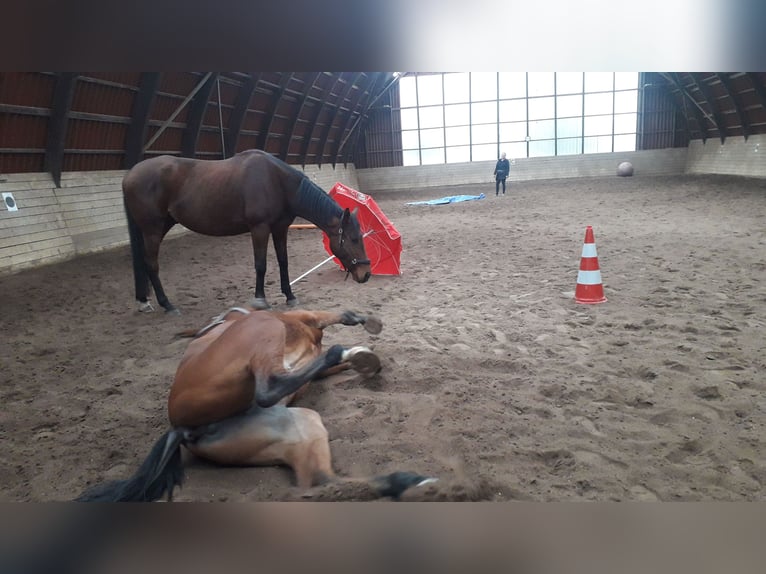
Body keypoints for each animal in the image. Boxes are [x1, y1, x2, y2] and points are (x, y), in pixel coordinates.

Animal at [79, 308, 438, 502]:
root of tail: (182, 428)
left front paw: (363, 359)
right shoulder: (303, 317)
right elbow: (336, 315)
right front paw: (363, 328)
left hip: (299, 424)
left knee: (320, 481)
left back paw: (410, 483)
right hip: (264, 331)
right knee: (271, 388)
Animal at [122, 150, 372, 316]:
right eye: (353, 239)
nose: (366, 274)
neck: (277, 182)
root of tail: (129, 175)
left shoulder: (280, 228)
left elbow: (283, 261)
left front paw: (290, 296)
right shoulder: (259, 228)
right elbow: (261, 264)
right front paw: (260, 300)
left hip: (160, 226)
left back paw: (144, 300)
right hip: (153, 229)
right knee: (151, 264)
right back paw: (167, 305)